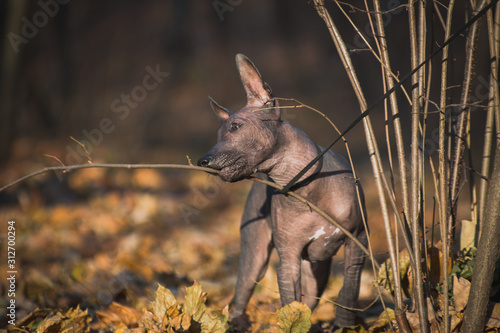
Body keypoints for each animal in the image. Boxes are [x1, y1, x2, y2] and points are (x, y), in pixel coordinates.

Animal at [198, 53, 368, 328]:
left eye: (235, 127)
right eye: (218, 134)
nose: (202, 161)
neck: (307, 190)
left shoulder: (357, 242)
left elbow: (349, 289)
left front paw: (344, 326)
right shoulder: (288, 261)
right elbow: (291, 306)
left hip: (318, 271)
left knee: (312, 298)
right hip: (256, 254)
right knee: (243, 291)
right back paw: (236, 322)